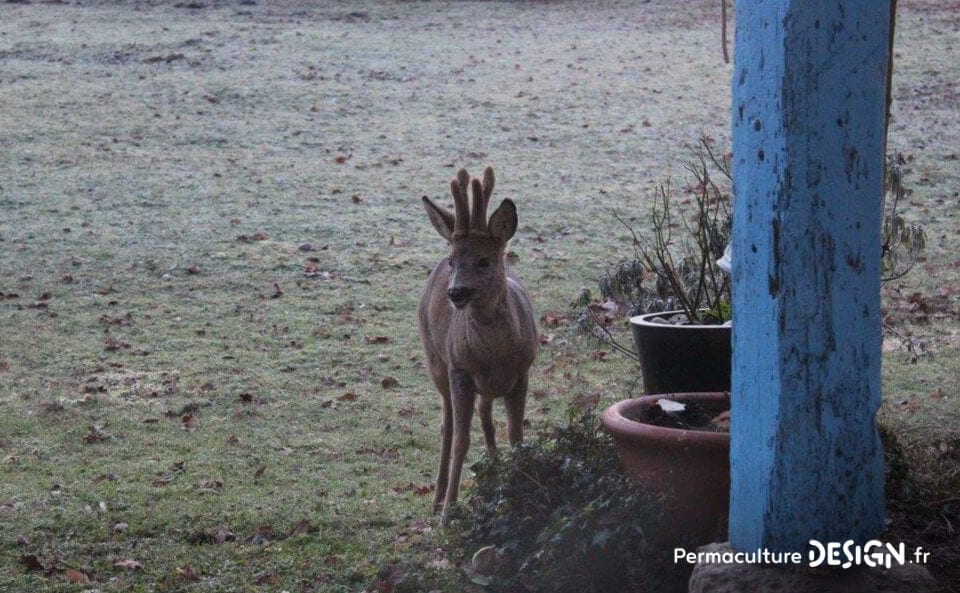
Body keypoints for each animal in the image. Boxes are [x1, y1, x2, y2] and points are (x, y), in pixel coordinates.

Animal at [420, 165, 540, 524]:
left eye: (484, 260)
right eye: (454, 260)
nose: (456, 292)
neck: (495, 356)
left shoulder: (523, 371)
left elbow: (515, 433)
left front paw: (519, 484)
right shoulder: (460, 371)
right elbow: (461, 438)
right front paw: (449, 511)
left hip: (485, 386)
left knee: (486, 414)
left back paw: (494, 469)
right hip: (437, 363)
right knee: (447, 425)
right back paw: (438, 498)